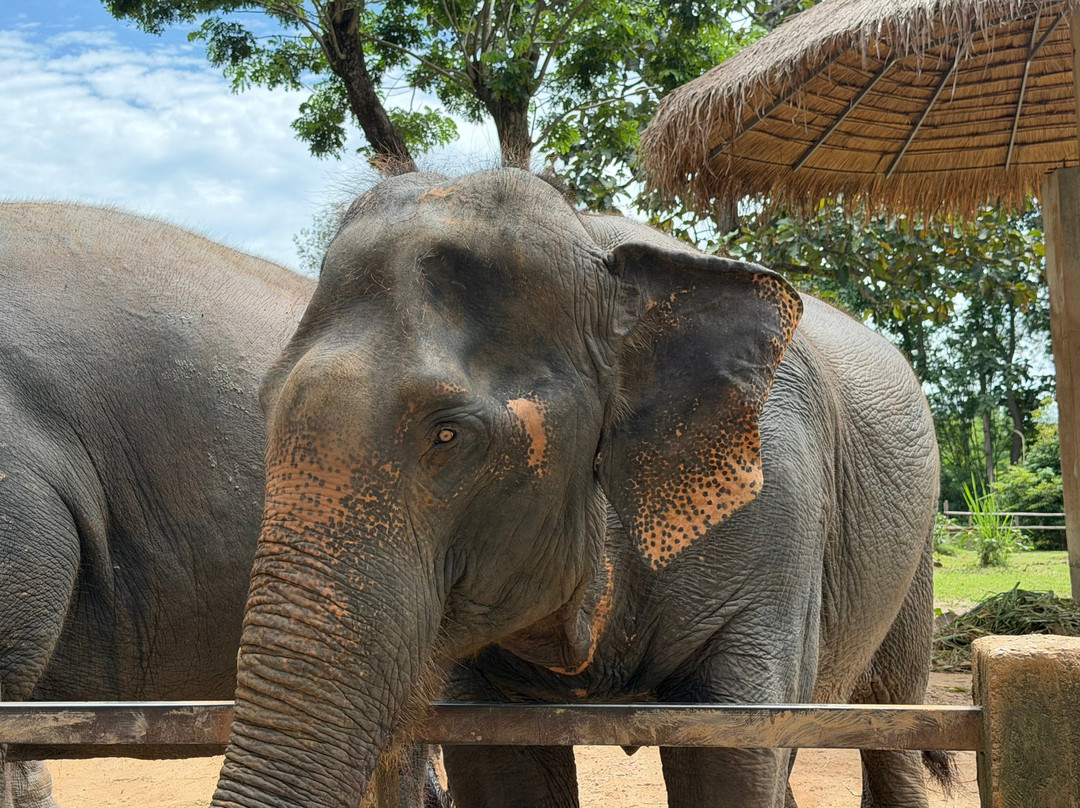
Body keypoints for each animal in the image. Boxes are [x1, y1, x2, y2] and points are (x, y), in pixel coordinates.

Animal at [209, 168, 945, 808]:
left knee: (891, 723)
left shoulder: (773, 523)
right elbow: (499, 766)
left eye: (448, 435)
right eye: (264, 401)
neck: (605, 262)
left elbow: (733, 753)